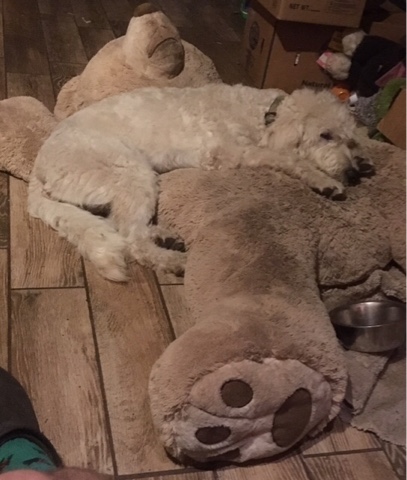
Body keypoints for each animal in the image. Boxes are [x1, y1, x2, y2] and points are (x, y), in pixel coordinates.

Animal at [28, 84, 373, 282]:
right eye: (324, 135)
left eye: (349, 139)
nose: (351, 174)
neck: (265, 114)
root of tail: (37, 168)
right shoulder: (235, 154)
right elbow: (290, 159)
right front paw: (324, 180)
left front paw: (364, 163)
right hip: (132, 171)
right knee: (132, 239)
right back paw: (173, 260)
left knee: (123, 225)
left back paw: (164, 236)